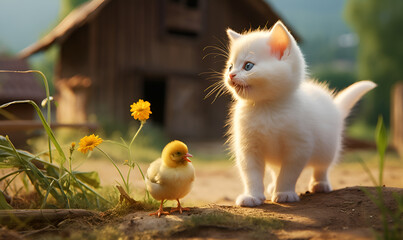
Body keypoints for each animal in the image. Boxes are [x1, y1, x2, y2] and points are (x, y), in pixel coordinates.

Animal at [226, 21, 378, 207]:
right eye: (230, 66)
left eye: (248, 66)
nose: (231, 75)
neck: (267, 108)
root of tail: (334, 107)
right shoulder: (248, 147)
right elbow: (251, 173)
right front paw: (252, 195)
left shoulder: (299, 146)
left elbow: (289, 173)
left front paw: (284, 192)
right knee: (276, 169)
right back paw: (272, 186)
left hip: (328, 147)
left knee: (322, 166)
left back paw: (320, 184)